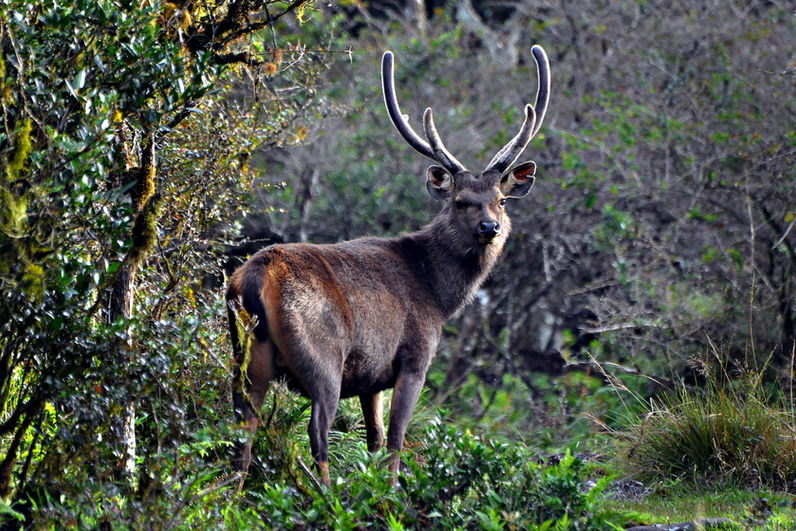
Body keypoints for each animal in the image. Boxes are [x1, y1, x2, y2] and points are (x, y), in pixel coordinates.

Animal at [226, 45, 550, 487]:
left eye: (500, 200)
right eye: (460, 201)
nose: (490, 227)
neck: (438, 295)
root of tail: (255, 279)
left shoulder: (371, 377)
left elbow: (375, 439)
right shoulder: (414, 356)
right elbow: (396, 438)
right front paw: (391, 491)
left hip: (247, 355)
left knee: (242, 428)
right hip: (323, 356)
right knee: (317, 431)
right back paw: (326, 495)